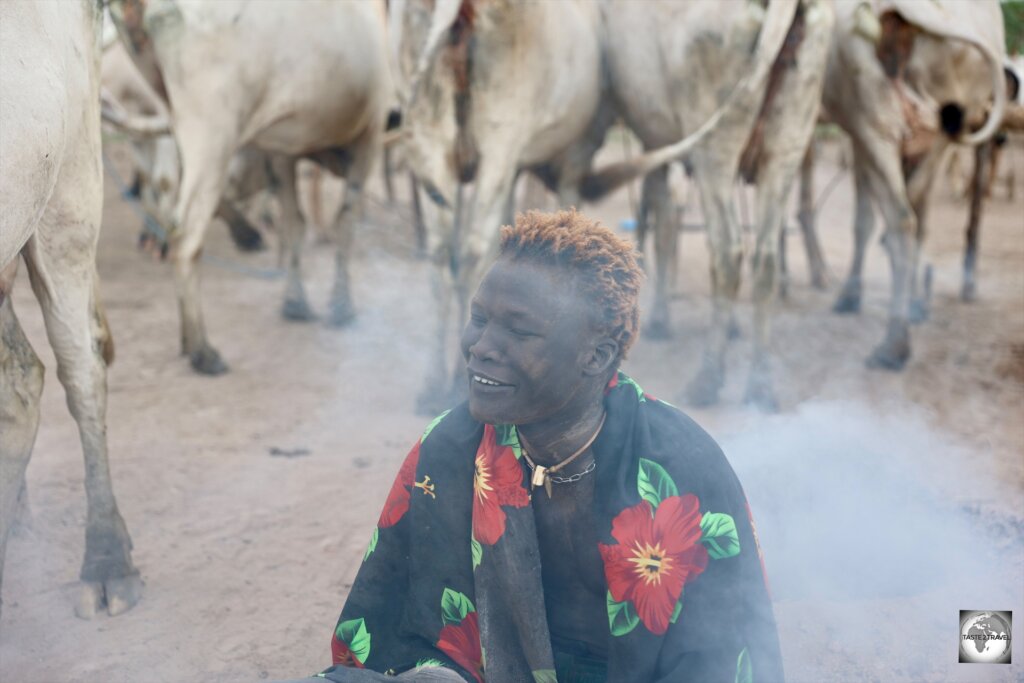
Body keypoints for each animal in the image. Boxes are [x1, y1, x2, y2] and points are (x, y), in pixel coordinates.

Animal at [110, 0, 391, 374]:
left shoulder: (286, 148)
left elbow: (294, 224)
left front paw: (295, 301)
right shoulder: (370, 134)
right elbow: (345, 222)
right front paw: (341, 306)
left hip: (170, 120)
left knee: (166, 195)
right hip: (211, 134)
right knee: (185, 234)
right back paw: (202, 349)